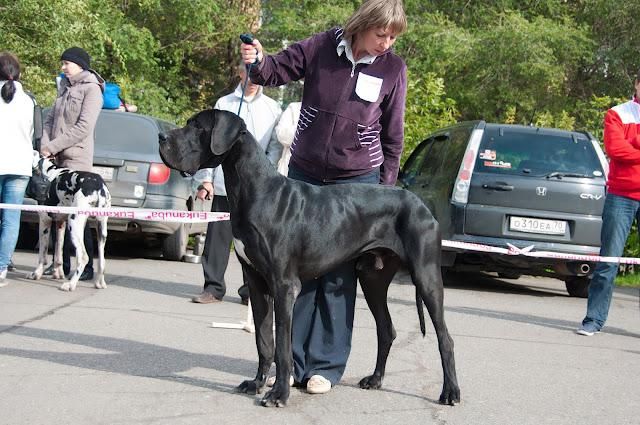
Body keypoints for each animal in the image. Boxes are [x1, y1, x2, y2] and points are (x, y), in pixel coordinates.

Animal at [27, 152, 111, 292]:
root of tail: (98, 186)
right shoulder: (60, 223)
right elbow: (58, 252)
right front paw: (57, 273)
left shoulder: (44, 221)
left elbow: (42, 254)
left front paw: (36, 274)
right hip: (101, 231)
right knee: (102, 260)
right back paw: (100, 283)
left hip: (75, 226)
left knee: (83, 257)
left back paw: (71, 284)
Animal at [159, 109, 460, 407]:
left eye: (198, 127)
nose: (162, 137)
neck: (255, 190)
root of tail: (421, 204)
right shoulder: (256, 283)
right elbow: (264, 341)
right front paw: (256, 384)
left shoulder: (284, 286)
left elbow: (282, 346)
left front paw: (278, 393)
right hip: (372, 278)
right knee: (386, 329)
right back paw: (375, 380)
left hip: (426, 276)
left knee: (445, 337)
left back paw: (450, 392)